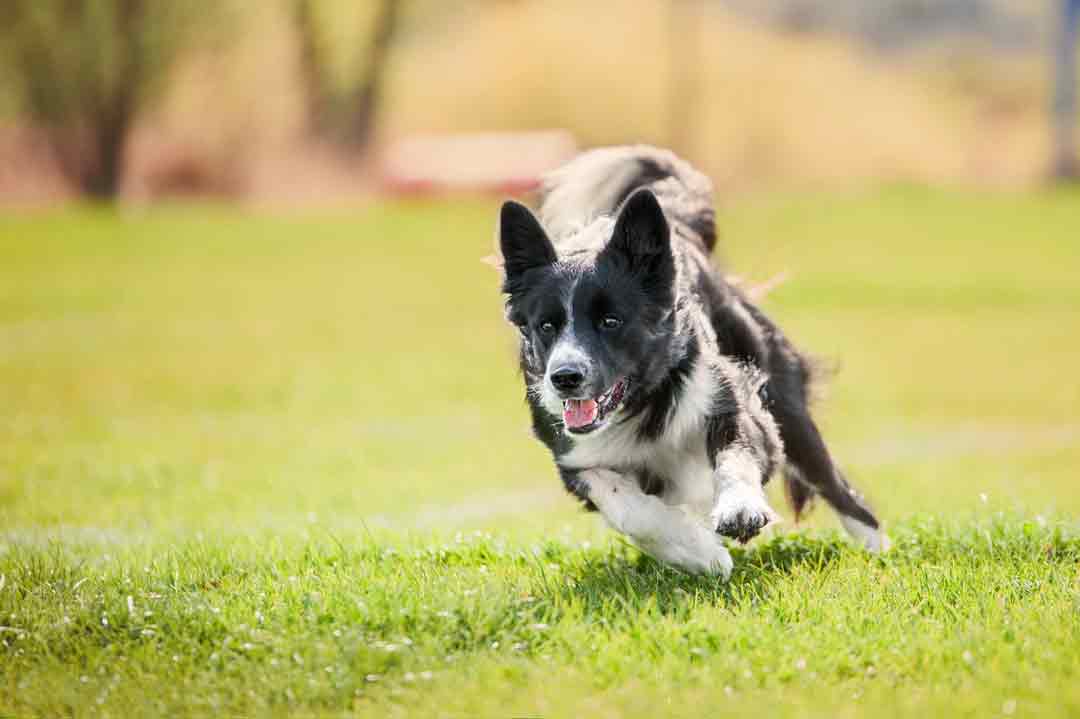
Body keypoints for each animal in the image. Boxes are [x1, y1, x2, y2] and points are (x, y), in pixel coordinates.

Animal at [496, 145, 885, 578]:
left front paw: (739, 510)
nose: (565, 377)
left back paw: (876, 551)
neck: (641, 402)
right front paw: (701, 553)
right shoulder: (574, 457)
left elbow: (736, 454)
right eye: (546, 326)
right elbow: (629, 509)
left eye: (611, 321)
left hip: (782, 399)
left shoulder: (730, 395)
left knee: (839, 488)